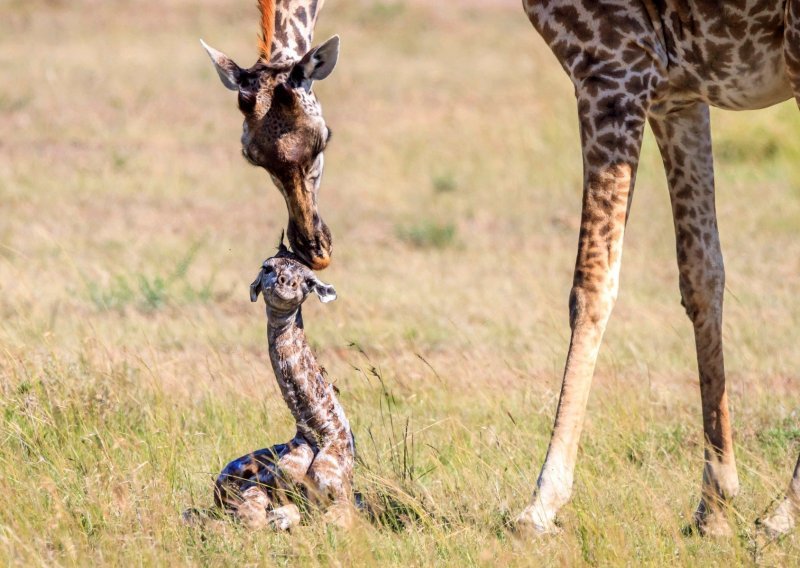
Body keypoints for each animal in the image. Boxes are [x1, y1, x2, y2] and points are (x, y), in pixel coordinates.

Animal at [212, 242, 354, 532]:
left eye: (309, 281)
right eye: (267, 267)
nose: (286, 283)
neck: (322, 431)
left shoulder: (343, 497)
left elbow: (330, 522)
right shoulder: (259, 488)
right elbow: (255, 516)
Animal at [516, 0, 800, 536]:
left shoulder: (609, 66)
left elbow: (592, 283)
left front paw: (541, 503)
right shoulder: (678, 95)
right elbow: (702, 272)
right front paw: (715, 503)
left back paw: (783, 513)